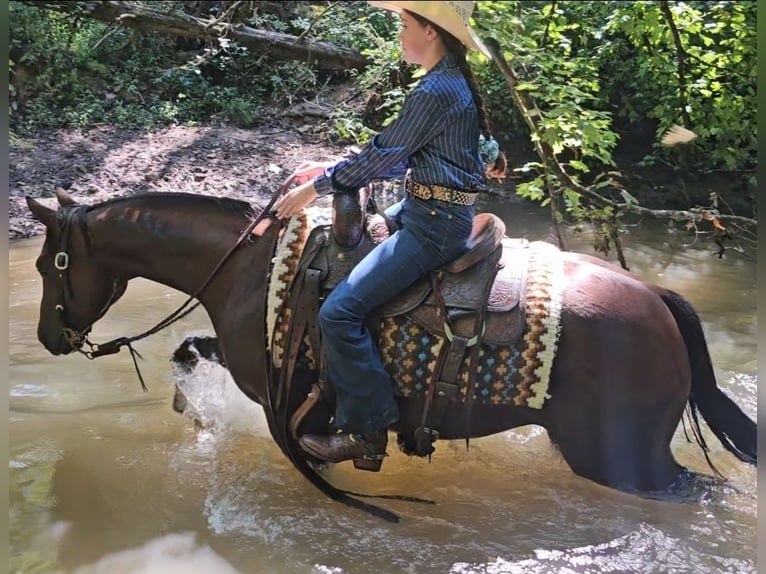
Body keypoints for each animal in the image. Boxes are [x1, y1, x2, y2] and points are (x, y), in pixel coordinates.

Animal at [25, 189, 756, 521]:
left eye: (45, 264)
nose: (46, 338)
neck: (250, 272)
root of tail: (659, 298)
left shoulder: (290, 404)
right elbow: (189, 350)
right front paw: (189, 405)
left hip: (624, 459)